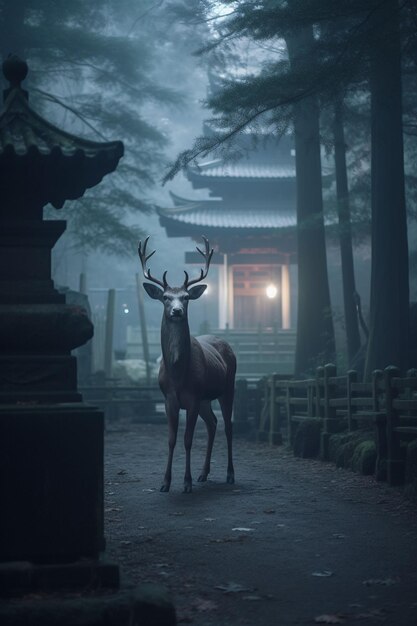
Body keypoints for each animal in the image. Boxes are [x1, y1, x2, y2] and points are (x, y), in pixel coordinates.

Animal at [138, 235, 236, 492]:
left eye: (186, 297)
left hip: (228, 387)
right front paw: (165, 482)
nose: (177, 311)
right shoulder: (169, 399)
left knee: (228, 426)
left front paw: (187, 482)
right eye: (165, 297)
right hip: (205, 399)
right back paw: (204, 473)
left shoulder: (192, 398)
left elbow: (188, 440)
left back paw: (230, 475)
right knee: (212, 423)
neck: (178, 375)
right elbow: (172, 440)